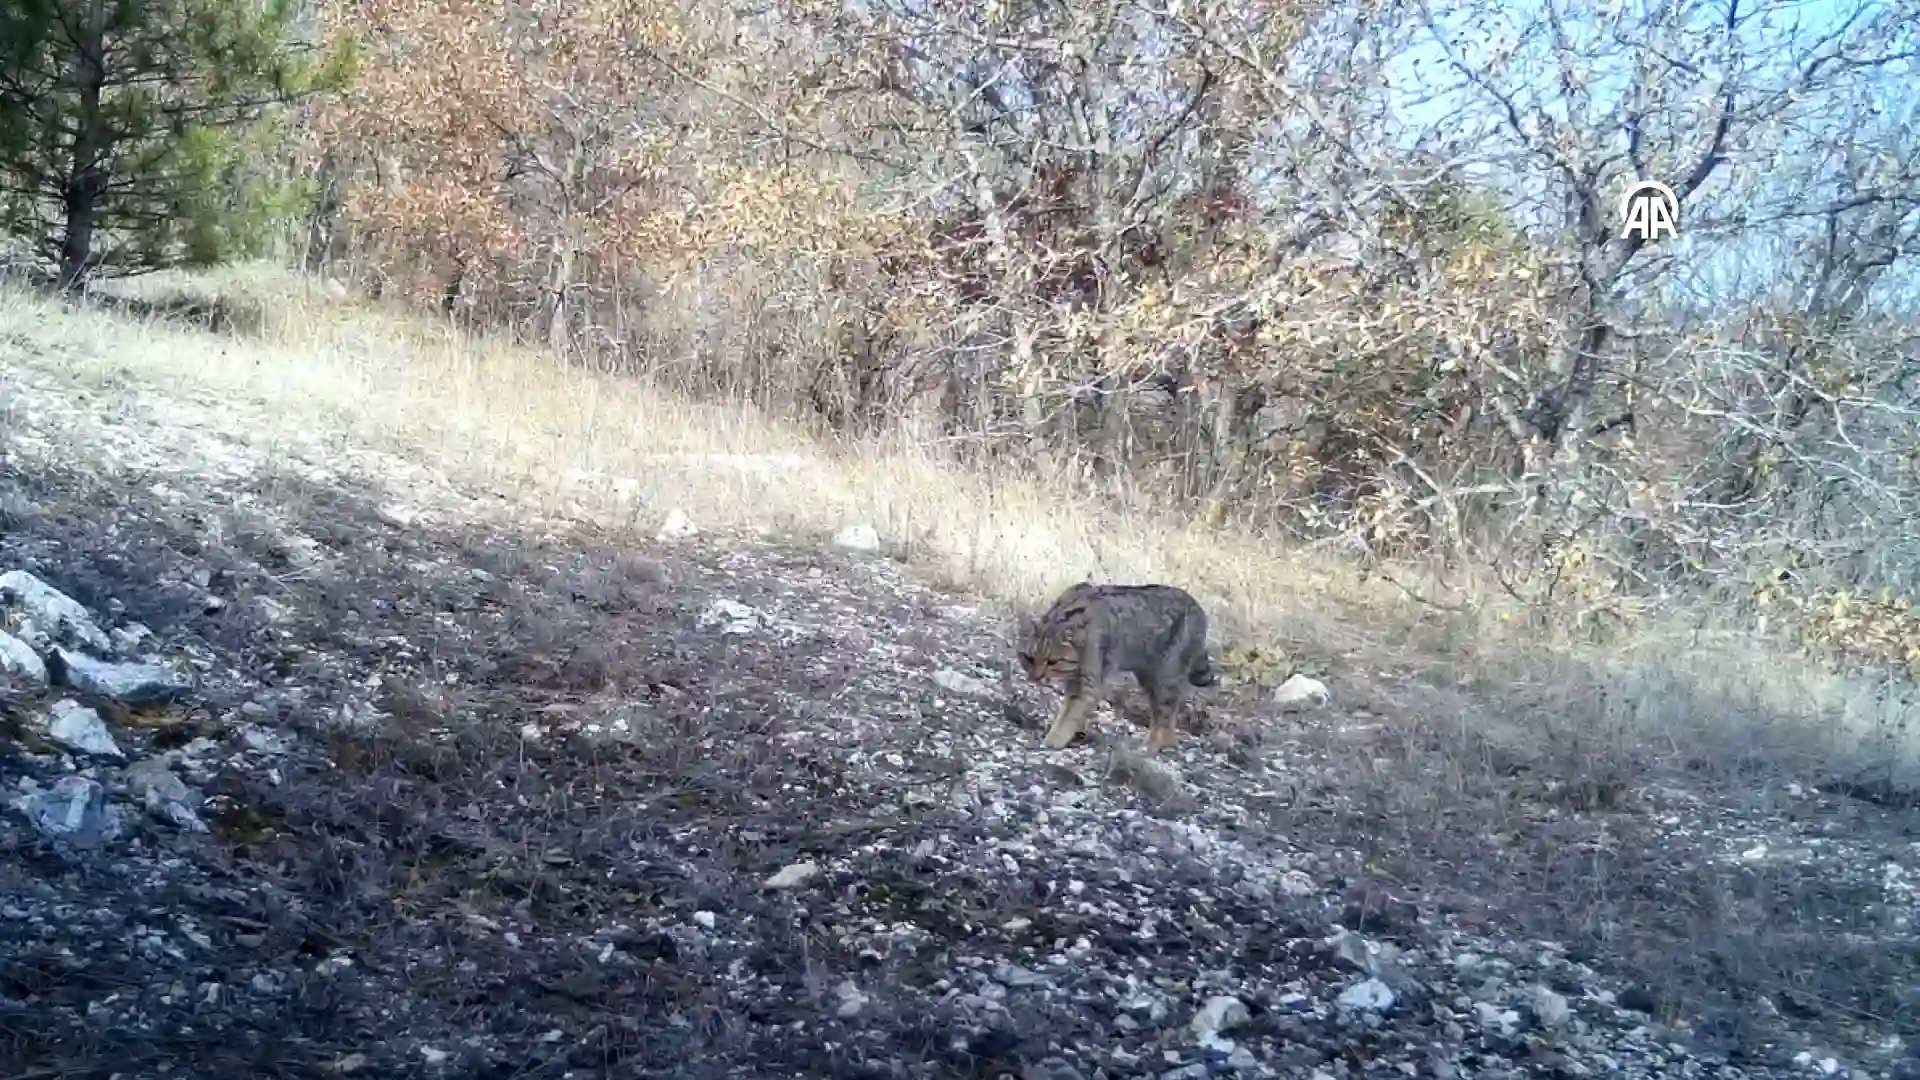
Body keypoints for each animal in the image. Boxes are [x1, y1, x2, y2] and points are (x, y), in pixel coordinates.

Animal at [1021, 580, 1213, 749]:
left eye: (1053, 662)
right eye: (1029, 658)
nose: (1035, 677)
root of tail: (1198, 607)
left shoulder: (1089, 681)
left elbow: (1071, 713)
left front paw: (1055, 738)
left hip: (1167, 676)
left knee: (1167, 713)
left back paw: (1153, 746)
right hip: (1149, 677)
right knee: (1163, 713)